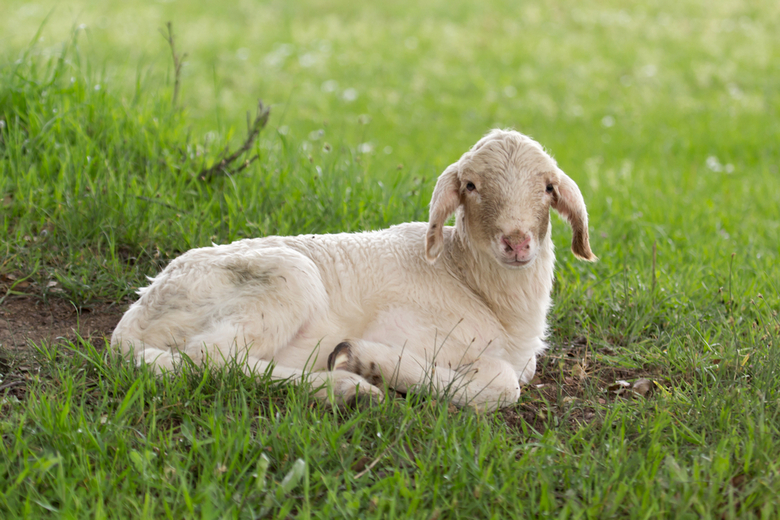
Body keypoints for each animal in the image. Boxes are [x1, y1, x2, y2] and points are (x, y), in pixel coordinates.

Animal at [111, 129, 596, 410]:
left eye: (548, 187)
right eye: (472, 186)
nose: (516, 242)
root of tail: (134, 319)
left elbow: (515, 376)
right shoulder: (419, 333)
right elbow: (502, 386)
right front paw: (372, 362)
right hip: (285, 279)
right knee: (209, 359)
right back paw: (346, 386)